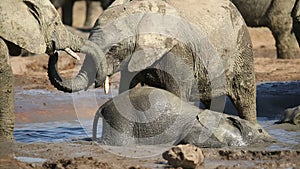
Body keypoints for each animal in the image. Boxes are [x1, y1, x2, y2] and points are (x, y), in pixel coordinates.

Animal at [48, 0, 258, 123]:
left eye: (113, 48)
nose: (54, 52)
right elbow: (127, 89)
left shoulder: (178, 52)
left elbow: (177, 93)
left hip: (241, 44)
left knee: (244, 95)